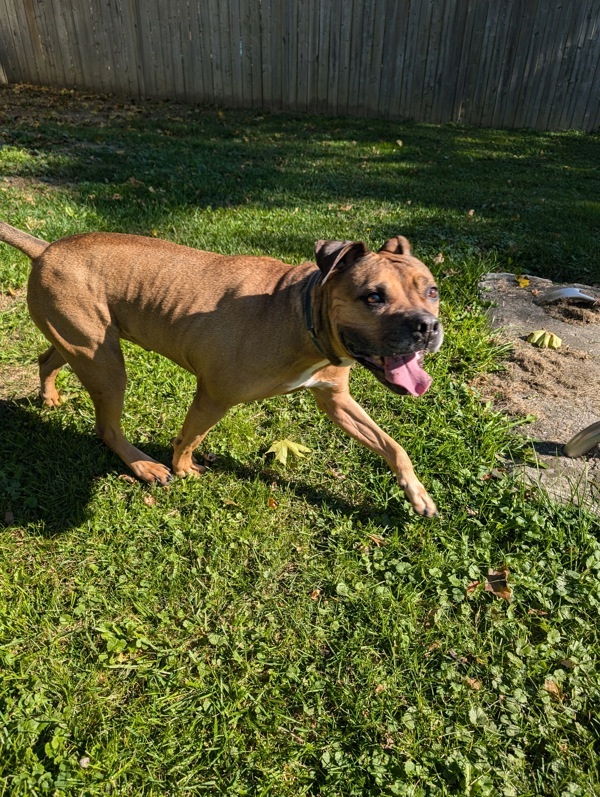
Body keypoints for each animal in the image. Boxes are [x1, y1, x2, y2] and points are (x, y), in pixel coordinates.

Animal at [0, 221, 440, 516]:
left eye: (432, 291)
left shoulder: (336, 400)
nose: (427, 327)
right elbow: (188, 439)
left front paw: (417, 494)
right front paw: (183, 470)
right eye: (373, 297)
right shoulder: (213, 397)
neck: (299, 314)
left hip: (83, 345)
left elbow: (392, 445)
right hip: (105, 364)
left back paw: (49, 396)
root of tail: (47, 249)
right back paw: (143, 465)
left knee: (47, 359)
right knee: (107, 427)